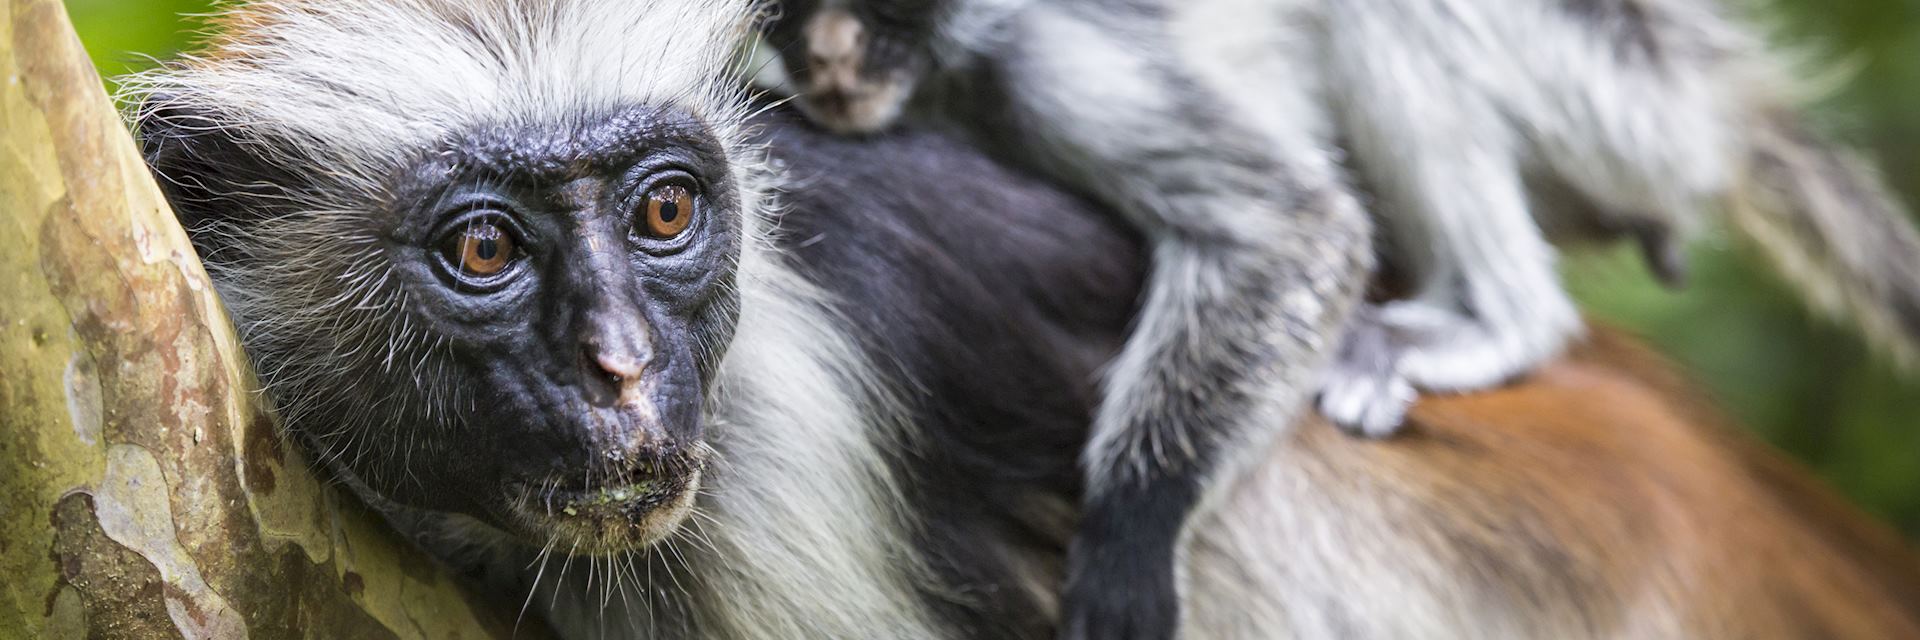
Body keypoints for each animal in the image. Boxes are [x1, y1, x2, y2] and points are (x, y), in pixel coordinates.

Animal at [760, 2, 1920, 634]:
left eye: (887, 3)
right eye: (789, 13)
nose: (831, 53)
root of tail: (1706, 100)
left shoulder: (1046, 61)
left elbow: (1295, 230)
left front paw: (1133, 534)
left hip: (1618, 106)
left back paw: (1504, 319)